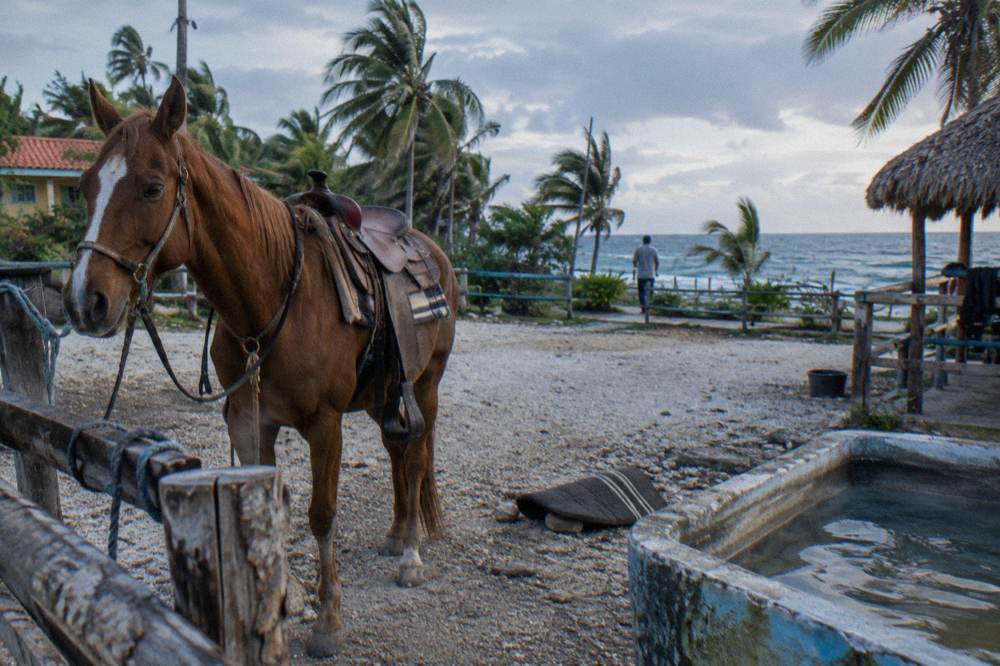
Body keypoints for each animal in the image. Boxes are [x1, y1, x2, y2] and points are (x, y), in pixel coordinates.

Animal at [63, 76, 457, 657]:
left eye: (152, 189)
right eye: (86, 186)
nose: (84, 301)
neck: (272, 298)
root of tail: (432, 250)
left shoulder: (325, 424)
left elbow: (321, 514)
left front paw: (328, 620)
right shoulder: (250, 420)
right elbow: (270, 514)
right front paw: (280, 600)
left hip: (424, 384)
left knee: (414, 454)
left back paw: (410, 552)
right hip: (384, 392)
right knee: (396, 451)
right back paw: (395, 535)